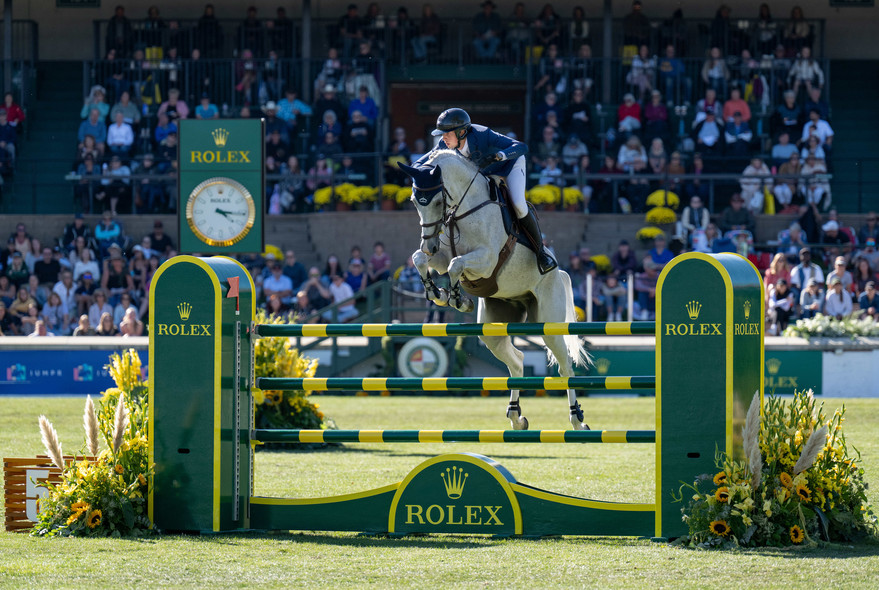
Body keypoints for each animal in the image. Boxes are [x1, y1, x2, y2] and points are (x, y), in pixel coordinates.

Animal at [398, 150, 592, 432]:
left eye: (438, 201)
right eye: (415, 201)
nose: (429, 245)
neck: (464, 211)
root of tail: (560, 274)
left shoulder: (486, 259)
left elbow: (457, 265)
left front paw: (457, 298)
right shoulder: (442, 257)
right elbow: (420, 259)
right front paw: (438, 293)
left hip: (549, 324)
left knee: (565, 367)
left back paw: (577, 419)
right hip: (494, 327)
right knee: (518, 361)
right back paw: (516, 416)